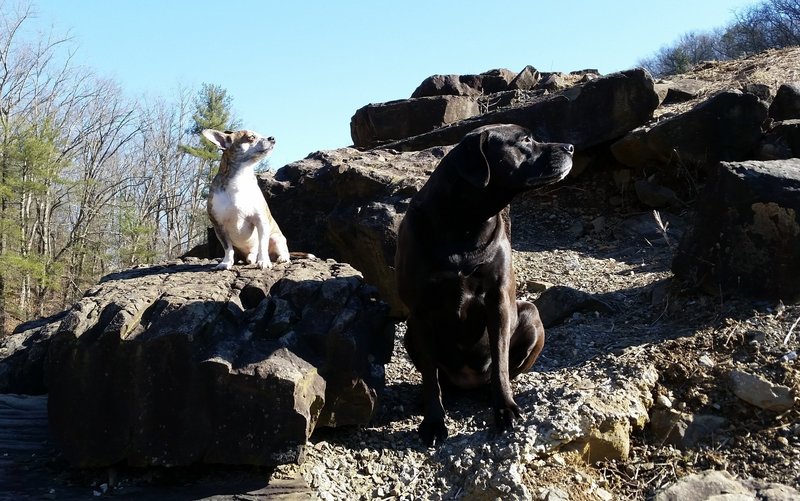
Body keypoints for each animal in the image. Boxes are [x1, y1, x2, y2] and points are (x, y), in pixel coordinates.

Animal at [203, 129, 294, 270]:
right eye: (251, 137)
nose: (272, 138)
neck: (241, 177)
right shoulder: (219, 227)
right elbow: (227, 248)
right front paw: (226, 262)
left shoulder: (261, 221)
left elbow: (262, 245)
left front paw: (264, 261)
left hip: (276, 237)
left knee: (282, 252)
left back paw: (280, 258)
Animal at [396, 123, 572, 444]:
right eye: (525, 140)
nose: (570, 147)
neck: (464, 223)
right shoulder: (420, 312)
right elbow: (429, 376)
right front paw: (433, 422)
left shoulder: (497, 301)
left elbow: (500, 361)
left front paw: (505, 409)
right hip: (410, 333)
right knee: (437, 377)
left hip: (531, 316)